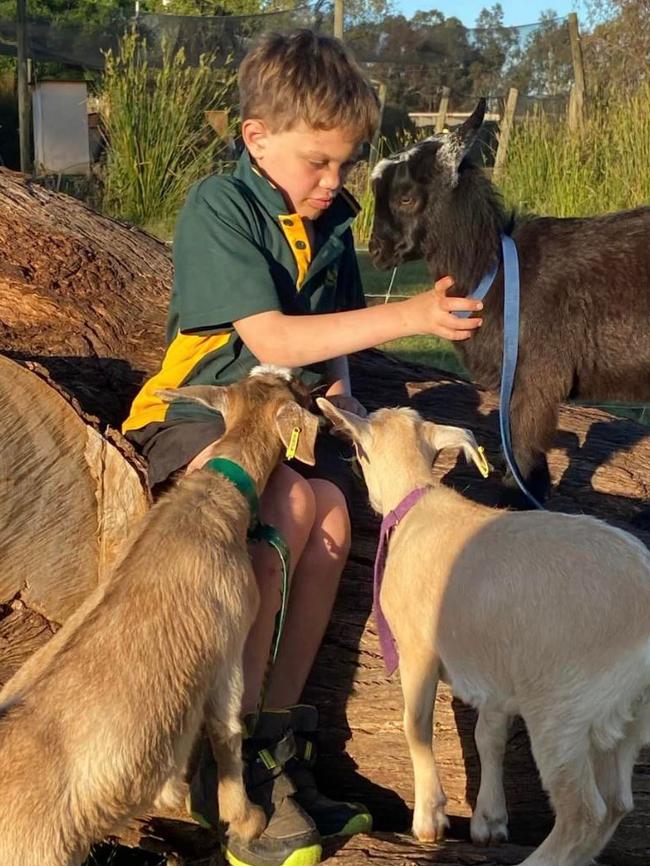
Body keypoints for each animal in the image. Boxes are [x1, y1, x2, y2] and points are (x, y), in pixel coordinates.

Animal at [0, 366, 316, 864]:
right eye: (295, 391)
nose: (311, 381)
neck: (211, 501)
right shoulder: (228, 644)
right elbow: (227, 730)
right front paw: (244, 818)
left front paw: (177, 795)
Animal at [316, 396, 648, 864]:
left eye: (360, 451)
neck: (420, 503)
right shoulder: (495, 670)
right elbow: (488, 738)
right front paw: (489, 822)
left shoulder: (418, 649)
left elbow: (416, 725)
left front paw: (430, 819)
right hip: (624, 719)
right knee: (617, 803)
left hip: (564, 707)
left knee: (584, 813)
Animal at [368, 99, 648, 506]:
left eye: (406, 196)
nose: (376, 251)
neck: (495, 274)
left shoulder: (534, 380)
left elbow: (524, 447)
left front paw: (517, 499)